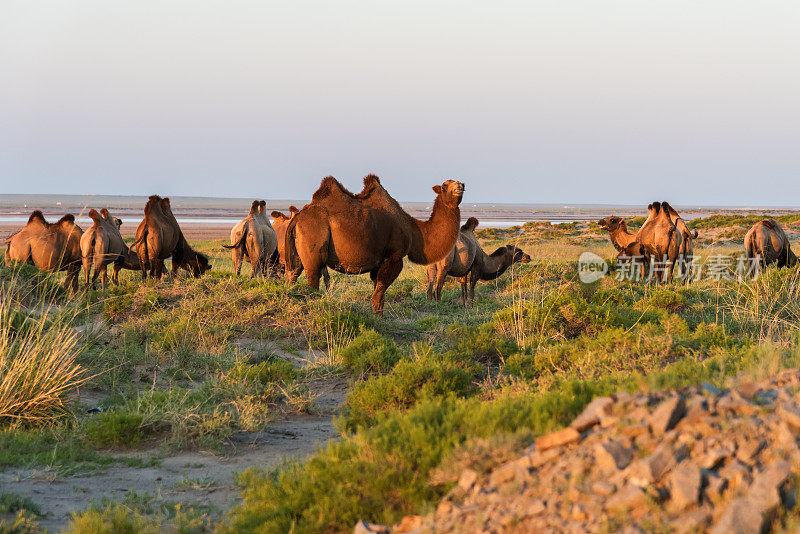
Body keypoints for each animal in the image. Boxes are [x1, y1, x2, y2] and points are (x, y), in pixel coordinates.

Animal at [286, 174, 462, 316]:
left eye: (461, 184)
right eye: (444, 185)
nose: (460, 186)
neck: (414, 230)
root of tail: (298, 217)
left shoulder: (377, 264)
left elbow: (378, 292)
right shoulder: (394, 257)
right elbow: (379, 295)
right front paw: (380, 319)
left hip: (296, 252)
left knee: (292, 275)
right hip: (314, 240)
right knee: (313, 277)